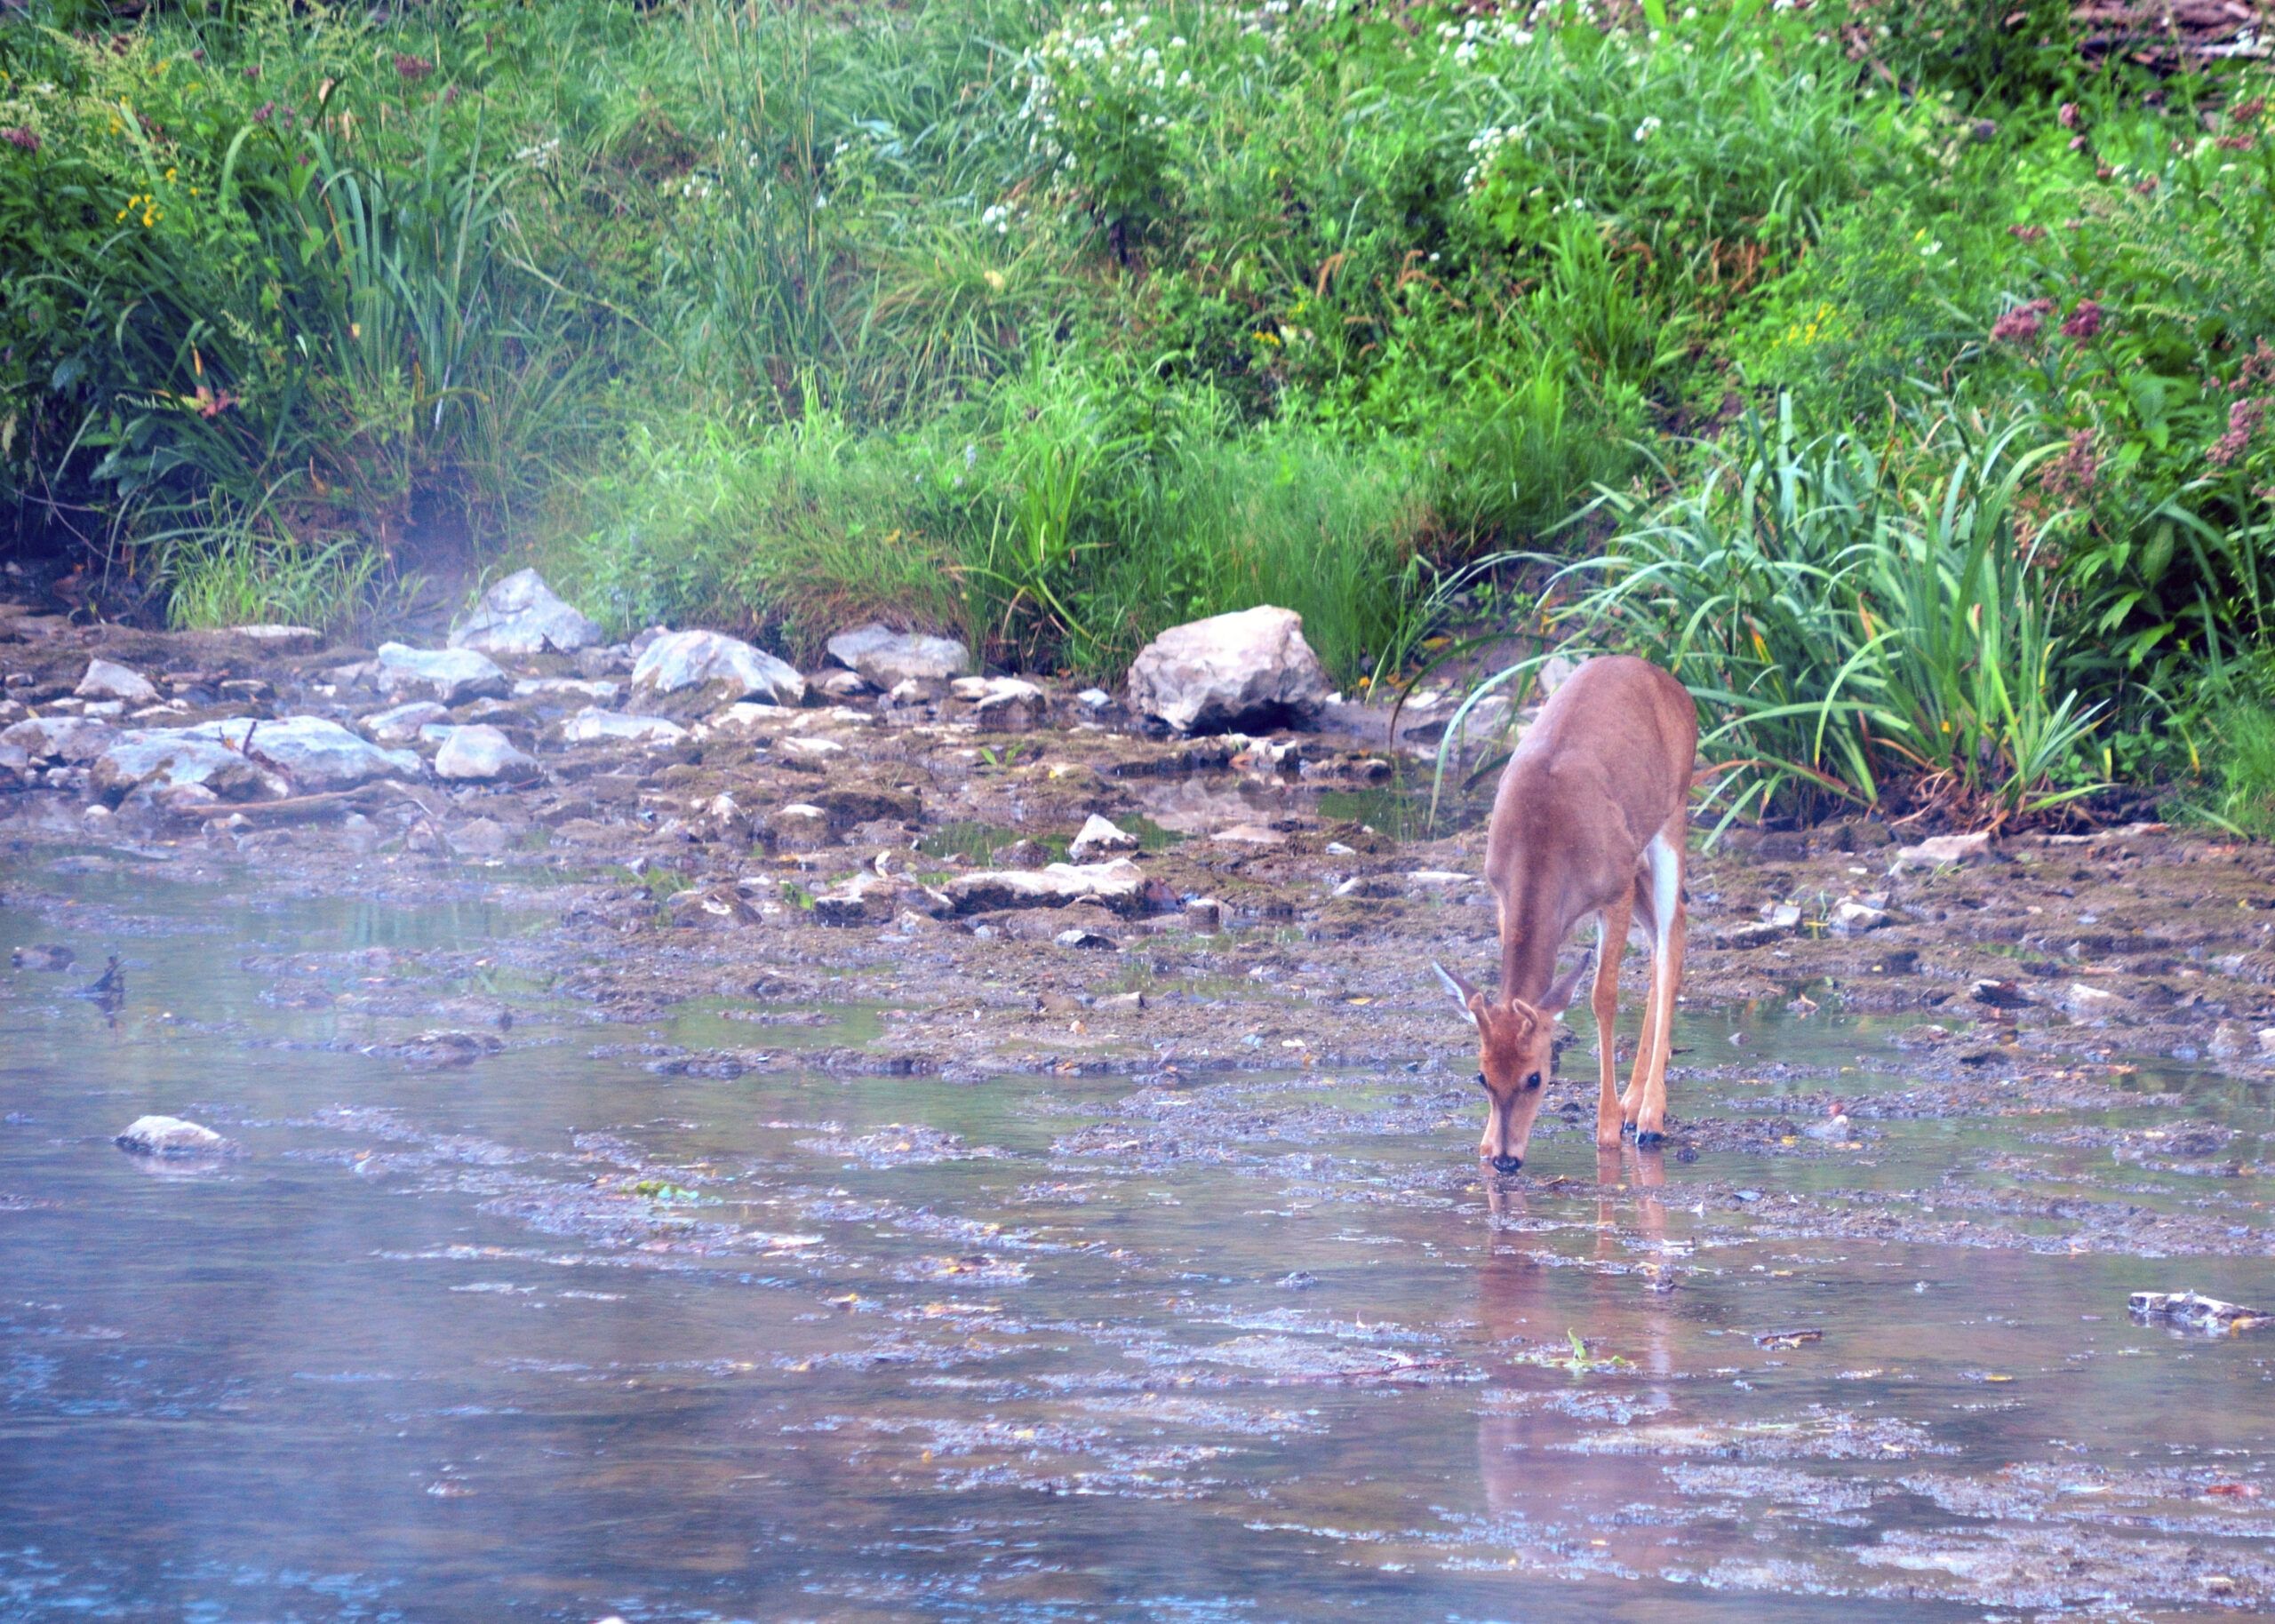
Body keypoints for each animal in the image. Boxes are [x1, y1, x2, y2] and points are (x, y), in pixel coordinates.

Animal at [1428, 650, 1701, 1174]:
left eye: (1536, 1077)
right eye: (1481, 1076)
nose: (1506, 1159)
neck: (1544, 838)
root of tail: (1669, 680)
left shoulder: (1613, 888)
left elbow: (1602, 997)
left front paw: (1607, 1129)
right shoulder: (1501, 894)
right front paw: (1484, 1142)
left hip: (1672, 815)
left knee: (1672, 936)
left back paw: (1649, 1117)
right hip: (1638, 851)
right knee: (1660, 939)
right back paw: (1636, 1102)